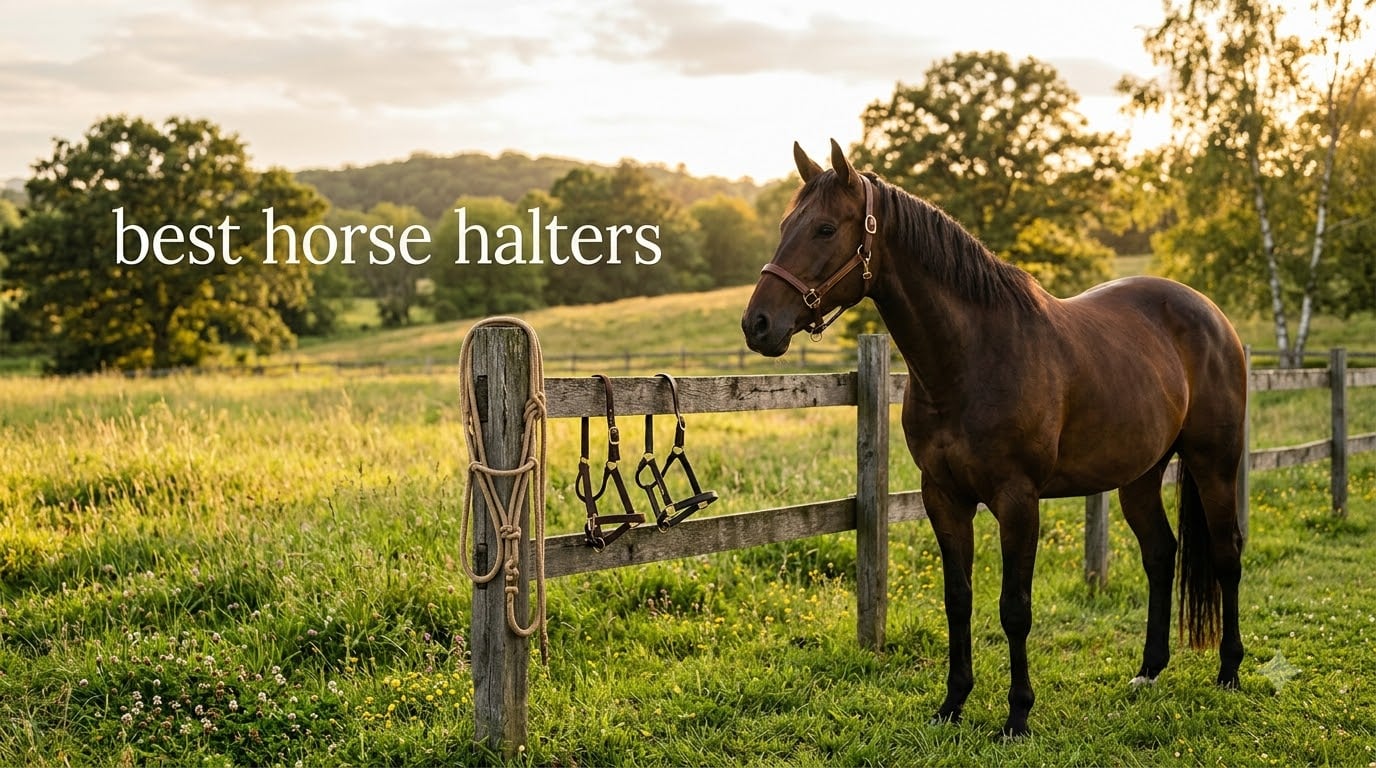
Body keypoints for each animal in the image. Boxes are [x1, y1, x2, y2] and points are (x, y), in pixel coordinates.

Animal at [742, 140, 1247, 738]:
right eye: (783, 225)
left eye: (823, 229)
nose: (757, 324)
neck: (970, 358)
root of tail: (1213, 316)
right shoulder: (943, 497)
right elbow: (958, 599)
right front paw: (952, 703)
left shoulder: (1017, 499)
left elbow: (1014, 608)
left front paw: (1018, 714)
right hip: (1140, 478)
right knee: (1160, 554)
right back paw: (1148, 670)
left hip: (1215, 464)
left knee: (1226, 554)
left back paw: (1229, 671)